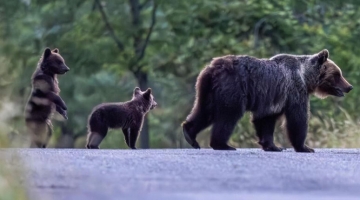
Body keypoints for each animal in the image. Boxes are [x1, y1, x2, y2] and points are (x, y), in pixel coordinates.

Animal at [183, 50, 352, 153]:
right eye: (337, 74)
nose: (349, 86)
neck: (306, 78)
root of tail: (212, 68)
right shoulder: (294, 90)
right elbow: (297, 119)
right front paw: (305, 147)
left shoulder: (273, 99)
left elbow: (266, 120)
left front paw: (273, 146)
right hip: (232, 87)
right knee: (228, 116)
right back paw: (223, 144)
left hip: (207, 90)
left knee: (204, 111)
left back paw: (190, 135)